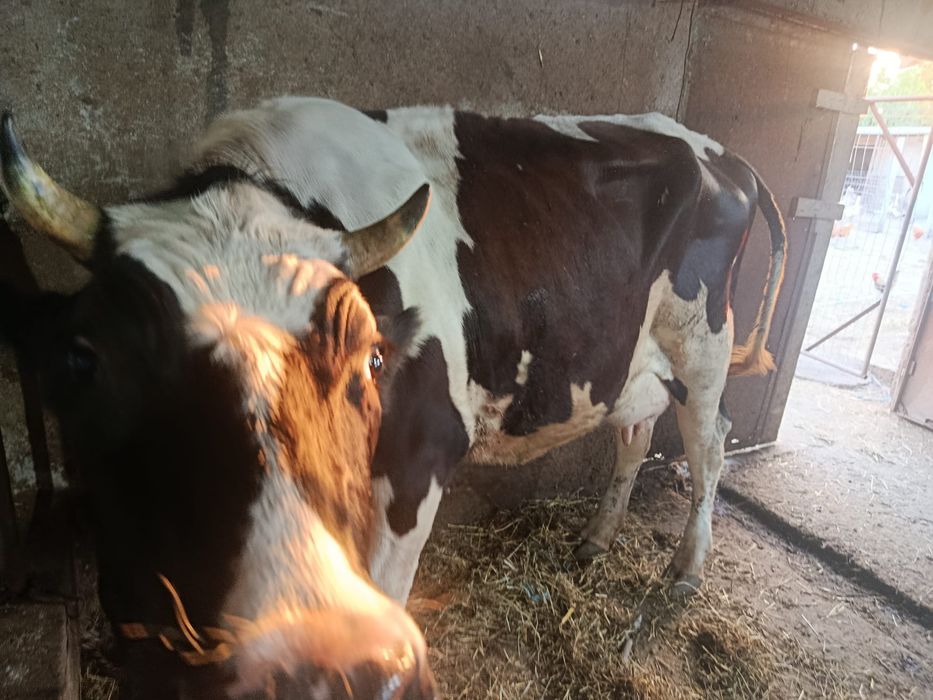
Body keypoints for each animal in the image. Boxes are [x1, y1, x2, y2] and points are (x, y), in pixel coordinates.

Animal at [0, 96, 785, 698]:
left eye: (371, 360)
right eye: (86, 358)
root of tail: (716, 149)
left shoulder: (419, 460)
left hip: (703, 346)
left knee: (709, 445)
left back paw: (685, 569)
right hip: (632, 360)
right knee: (634, 434)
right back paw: (596, 539)